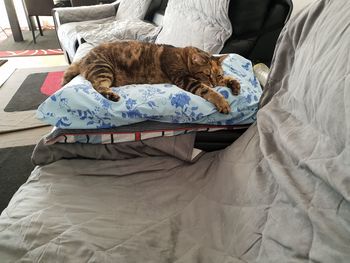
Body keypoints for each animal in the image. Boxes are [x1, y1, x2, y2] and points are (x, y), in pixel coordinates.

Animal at [61, 40, 239, 114]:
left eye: (217, 74)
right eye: (207, 74)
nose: (214, 82)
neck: (183, 56)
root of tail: (83, 58)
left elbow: (228, 79)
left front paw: (234, 84)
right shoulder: (185, 79)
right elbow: (208, 91)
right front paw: (222, 101)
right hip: (104, 69)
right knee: (97, 86)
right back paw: (111, 95)